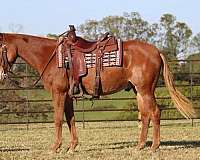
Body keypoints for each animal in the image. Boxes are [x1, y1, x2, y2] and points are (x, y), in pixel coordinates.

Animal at [0, 33, 195, 152]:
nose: (1, 74)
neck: (53, 58)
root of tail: (156, 51)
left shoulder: (59, 93)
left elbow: (57, 120)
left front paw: (55, 147)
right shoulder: (68, 96)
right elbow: (70, 119)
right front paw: (72, 147)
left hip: (145, 90)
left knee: (155, 112)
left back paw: (154, 147)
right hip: (139, 91)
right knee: (145, 115)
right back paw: (139, 146)